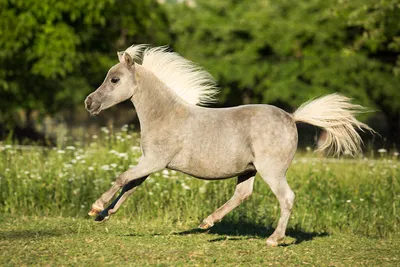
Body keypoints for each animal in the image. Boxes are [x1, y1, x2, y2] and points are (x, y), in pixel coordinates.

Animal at [84, 44, 372, 247]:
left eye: (114, 80)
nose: (89, 103)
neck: (164, 114)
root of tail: (292, 117)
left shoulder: (154, 161)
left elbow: (123, 178)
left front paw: (96, 207)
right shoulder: (150, 164)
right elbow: (130, 186)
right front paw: (104, 215)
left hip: (271, 170)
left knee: (286, 197)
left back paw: (273, 239)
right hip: (248, 169)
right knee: (242, 194)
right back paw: (207, 222)